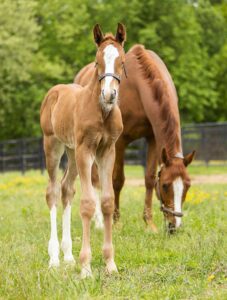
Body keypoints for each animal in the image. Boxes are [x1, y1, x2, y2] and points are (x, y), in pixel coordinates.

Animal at [40, 24, 127, 278]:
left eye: (122, 61)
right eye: (97, 62)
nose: (109, 94)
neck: (102, 112)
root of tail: (54, 91)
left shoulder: (107, 151)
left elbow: (107, 201)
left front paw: (110, 264)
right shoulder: (86, 150)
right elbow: (88, 204)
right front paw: (86, 267)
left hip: (71, 151)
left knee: (66, 189)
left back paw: (68, 256)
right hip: (54, 146)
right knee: (52, 192)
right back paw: (54, 258)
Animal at [75, 43, 195, 233]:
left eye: (187, 186)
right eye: (165, 185)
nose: (174, 226)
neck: (138, 88)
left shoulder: (153, 139)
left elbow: (149, 178)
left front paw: (149, 223)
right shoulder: (120, 141)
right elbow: (117, 181)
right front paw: (116, 222)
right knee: (94, 179)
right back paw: (99, 220)